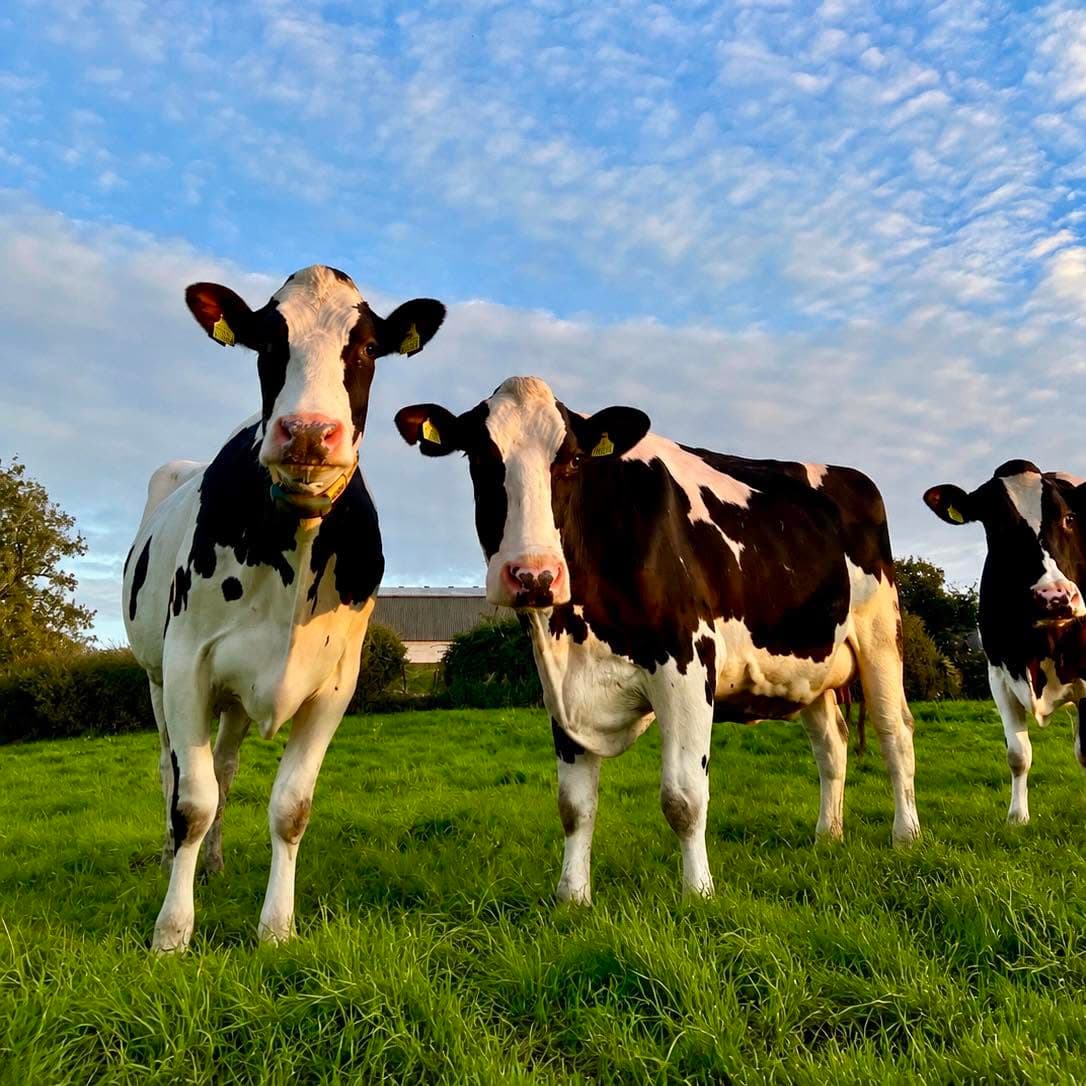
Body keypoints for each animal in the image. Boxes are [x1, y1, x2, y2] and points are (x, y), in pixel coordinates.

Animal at [123, 264, 445, 951]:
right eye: (268, 343)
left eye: (367, 348)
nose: (307, 432)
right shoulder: (187, 666)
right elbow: (191, 802)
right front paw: (173, 931)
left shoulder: (336, 685)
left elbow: (289, 807)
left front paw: (276, 927)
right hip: (157, 679)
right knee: (173, 771)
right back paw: (171, 860)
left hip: (233, 702)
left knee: (223, 768)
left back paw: (215, 863)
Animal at [395, 376, 920, 903]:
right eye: (479, 458)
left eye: (571, 460)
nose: (534, 575)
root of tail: (849, 475)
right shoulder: (560, 687)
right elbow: (573, 805)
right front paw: (572, 897)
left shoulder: (686, 666)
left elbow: (683, 797)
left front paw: (698, 893)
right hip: (809, 665)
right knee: (831, 743)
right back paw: (827, 836)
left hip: (881, 637)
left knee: (895, 733)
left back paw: (905, 836)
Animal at [924, 460, 1086, 824]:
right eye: (996, 525)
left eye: (1069, 518)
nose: (1054, 597)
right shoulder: (999, 673)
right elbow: (1018, 754)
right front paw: (1017, 817)